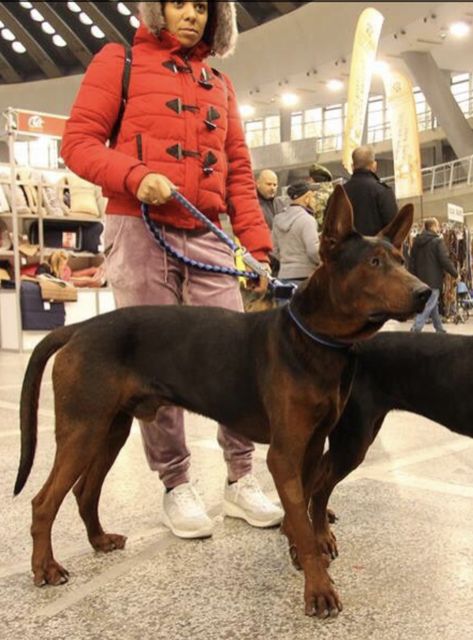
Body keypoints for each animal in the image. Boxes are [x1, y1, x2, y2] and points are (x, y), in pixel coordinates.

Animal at [13, 188, 428, 616]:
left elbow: (311, 503)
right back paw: (45, 567)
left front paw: (307, 548)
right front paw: (318, 588)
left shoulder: (312, 447)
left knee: (84, 491)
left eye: (401, 260)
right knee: (43, 501)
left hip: (110, 429)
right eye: (373, 263)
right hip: (82, 429)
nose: (425, 292)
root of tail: (79, 327)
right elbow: (302, 514)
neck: (313, 340)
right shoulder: (284, 453)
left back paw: (98, 540)